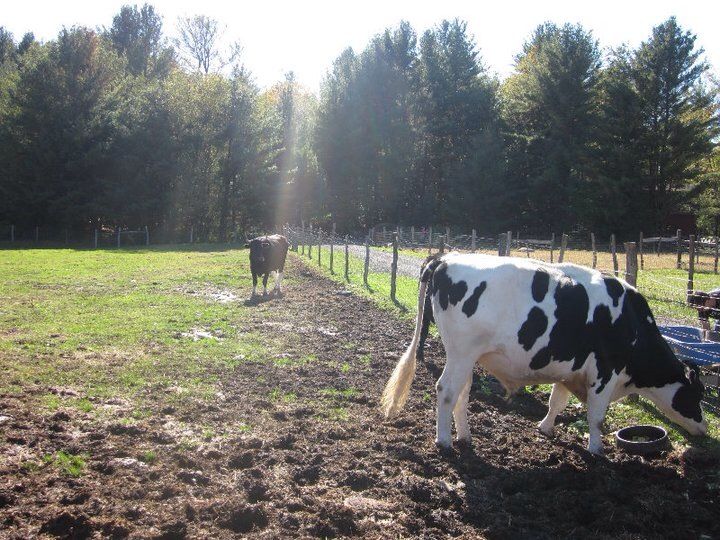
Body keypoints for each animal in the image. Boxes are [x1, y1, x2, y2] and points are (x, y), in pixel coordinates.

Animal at [381, 253, 707, 454]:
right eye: (697, 395)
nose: (704, 428)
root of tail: (446, 258)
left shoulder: (571, 369)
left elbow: (556, 402)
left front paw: (546, 428)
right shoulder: (605, 371)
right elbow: (596, 417)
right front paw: (596, 450)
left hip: (466, 357)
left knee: (462, 392)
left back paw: (464, 435)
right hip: (461, 352)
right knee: (446, 390)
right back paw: (444, 441)